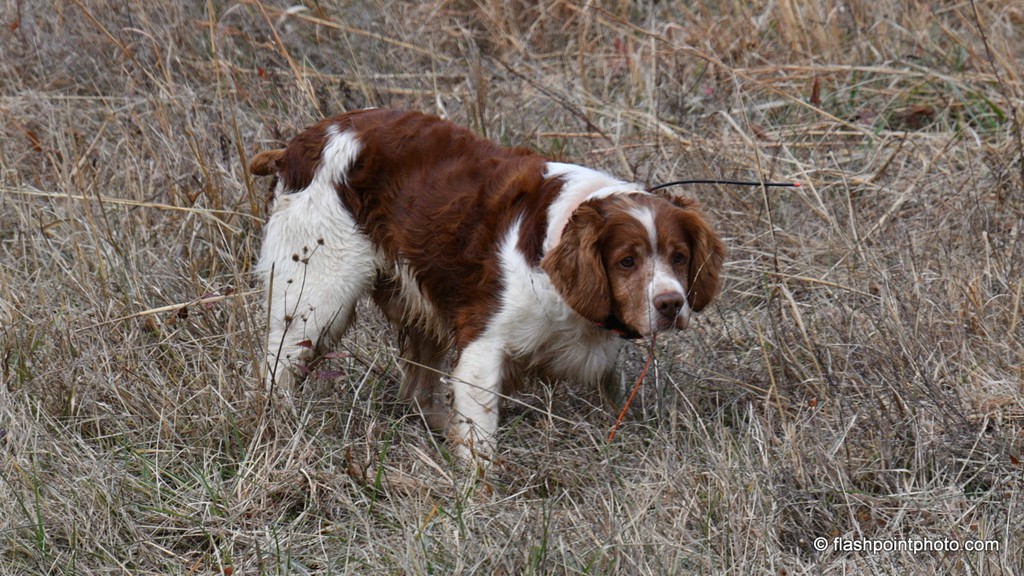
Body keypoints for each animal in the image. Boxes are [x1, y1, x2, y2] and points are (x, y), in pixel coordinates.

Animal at [250, 108, 724, 460]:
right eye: (626, 261)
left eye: (679, 257)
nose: (671, 304)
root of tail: (297, 146)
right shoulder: (483, 349)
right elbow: (480, 439)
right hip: (315, 297)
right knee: (278, 369)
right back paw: (281, 430)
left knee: (417, 390)